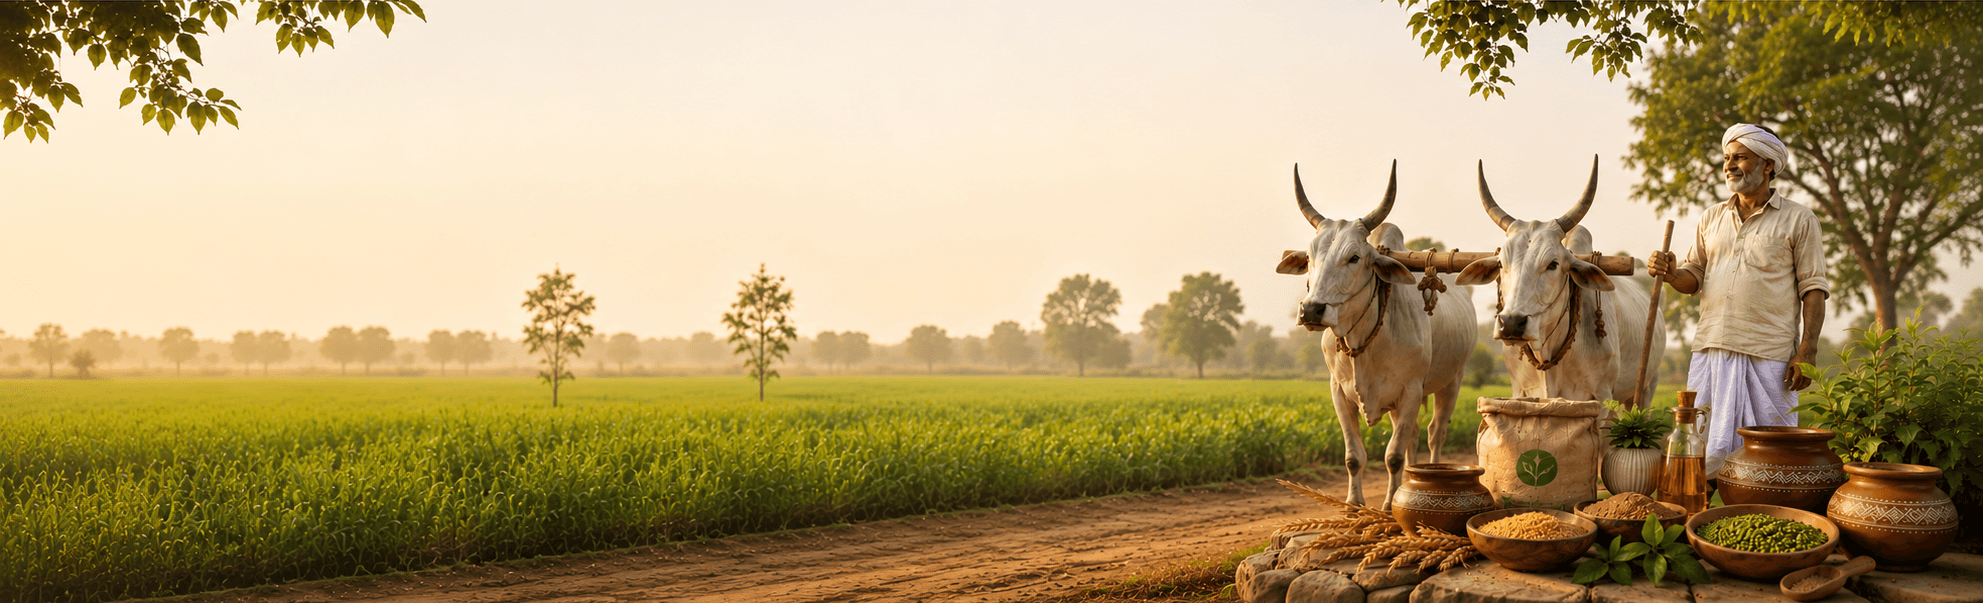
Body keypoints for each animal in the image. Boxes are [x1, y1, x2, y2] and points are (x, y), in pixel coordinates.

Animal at [1275, 162, 1478, 510]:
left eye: (1354, 257)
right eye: (1309, 257)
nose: (1312, 310)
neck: (1365, 341)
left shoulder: (1410, 391)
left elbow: (1393, 456)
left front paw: (1388, 504)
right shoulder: (1339, 392)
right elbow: (1354, 456)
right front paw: (1353, 503)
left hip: (1452, 380)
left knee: (1435, 433)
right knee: (1412, 437)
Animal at [1454, 157, 1665, 408]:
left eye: (1553, 264)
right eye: (1501, 263)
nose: (1511, 324)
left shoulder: (1602, 397)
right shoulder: (1520, 391)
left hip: (1648, 386)